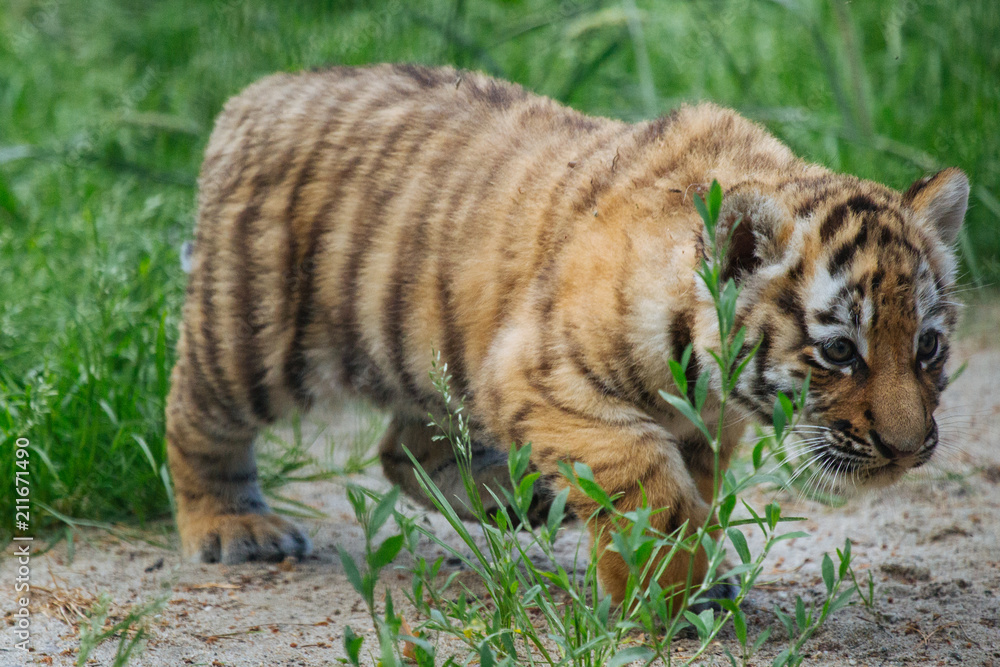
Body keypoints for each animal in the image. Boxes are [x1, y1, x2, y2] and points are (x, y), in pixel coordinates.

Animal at [165, 63, 968, 605]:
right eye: (839, 351)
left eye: (927, 347)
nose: (908, 449)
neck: (707, 378)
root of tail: (255, 93)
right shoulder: (540, 376)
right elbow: (652, 489)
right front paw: (666, 594)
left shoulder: (700, 426)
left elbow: (699, 498)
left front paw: (698, 579)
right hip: (251, 338)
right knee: (197, 417)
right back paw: (234, 527)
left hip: (435, 353)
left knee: (402, 447)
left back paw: (515, 497)